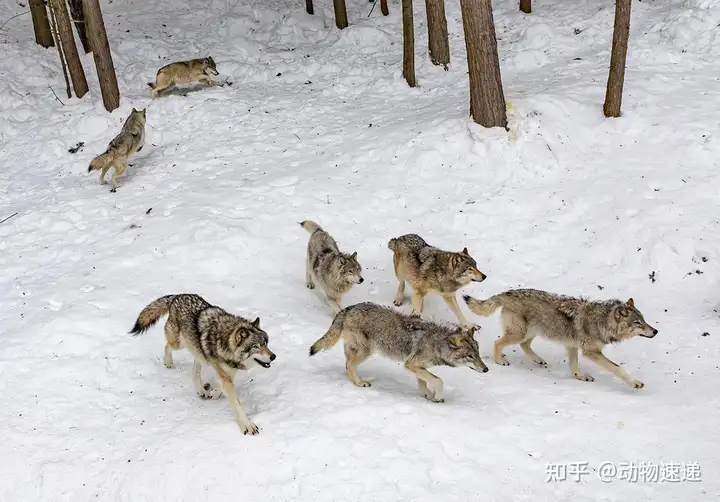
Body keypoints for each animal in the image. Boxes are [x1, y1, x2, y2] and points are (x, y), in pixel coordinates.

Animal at [129, 292, 276, 434]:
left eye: (266, 344)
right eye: (256, 347)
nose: (273, 356)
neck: (224, 341)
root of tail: (177, 296)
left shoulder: (228, 372)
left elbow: (221, 388)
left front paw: (214, 393)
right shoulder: (225, 374)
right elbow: (237, 403)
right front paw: (247, 425)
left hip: (199, 353)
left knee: (195, 370)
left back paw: (201, 390)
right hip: (179, 344)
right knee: (167, 346)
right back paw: (168, 362)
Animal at [306, 300, 486, 402]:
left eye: (478, 354)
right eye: (470, 356)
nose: (486, 369)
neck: (436, 343)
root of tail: (349, 308)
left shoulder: (416, 366)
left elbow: (424, 382)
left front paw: (428, 395)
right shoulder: (411, 364)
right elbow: (438, 380)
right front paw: (438, 396)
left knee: (347, 363)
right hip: (367, 351)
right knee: (349, 364)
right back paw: (360, 383)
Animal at [462, 288, 660, 390]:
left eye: (644, 320)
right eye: (637, 323)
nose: (656, 331)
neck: (602, 322)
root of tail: (507, 292)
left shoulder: (572, 346)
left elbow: (574, 367)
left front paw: (580, 377)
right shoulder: (591, 352)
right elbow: (617, 368)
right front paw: (635, 382)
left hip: (532, 332)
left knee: (524, 345)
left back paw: (539, 360)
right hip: (520, 333)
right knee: (498, 343)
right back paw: (500, 361)